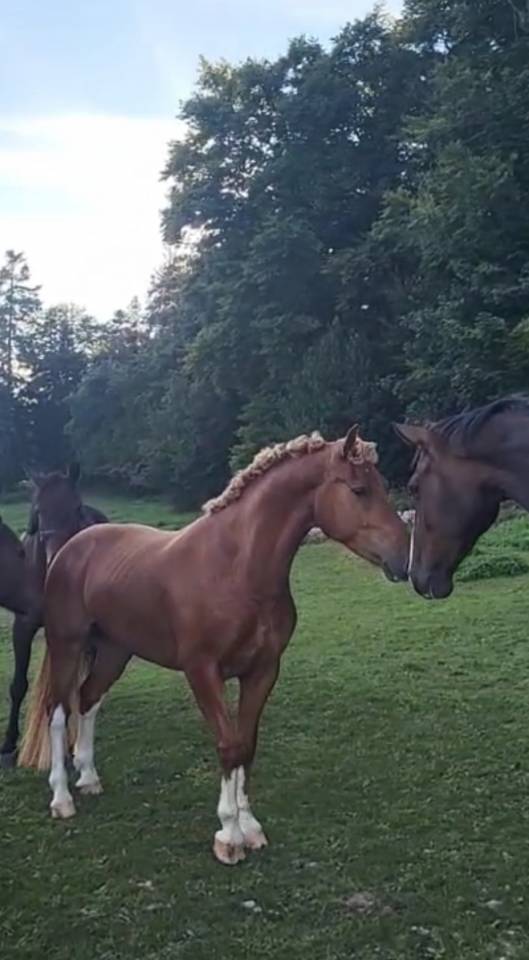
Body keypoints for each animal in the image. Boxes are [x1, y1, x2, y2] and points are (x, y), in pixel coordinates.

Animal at [0, 464, 107, 768]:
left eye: (76, 507)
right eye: (38, 510)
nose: (59, 558)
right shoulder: (24, 626)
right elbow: (18, 685)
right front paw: (8, 745)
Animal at [19, 426, 409, 865]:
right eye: (359, 490)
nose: (404, 558)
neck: (236, 569)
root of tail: (71, 546)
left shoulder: (262, 671)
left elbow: (246, 745)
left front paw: (250, 827)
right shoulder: (203, 672)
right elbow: (227, 745)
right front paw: (228, 835)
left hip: (116, 652)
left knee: (88, 700)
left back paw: (88, 777)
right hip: (66, 645)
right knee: (57, 711)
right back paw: (62, 798)